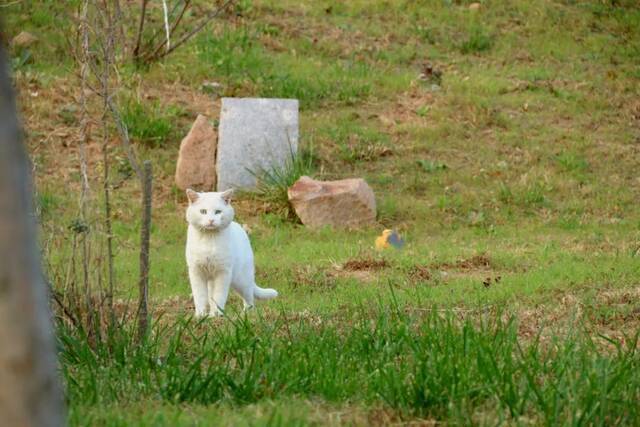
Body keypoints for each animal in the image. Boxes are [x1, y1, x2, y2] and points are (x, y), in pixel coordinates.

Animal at [184, 188, 276, 318]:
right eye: (203, 211)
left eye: (218, 212)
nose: (211, 220)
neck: (209, 238)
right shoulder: (196, 272)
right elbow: (200, 297)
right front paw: (201, 315)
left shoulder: (223, 272)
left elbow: (219, 296)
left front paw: (217, 314)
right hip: (213, 281)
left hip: (241, 280)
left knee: (249, 299)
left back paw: (246, 315)